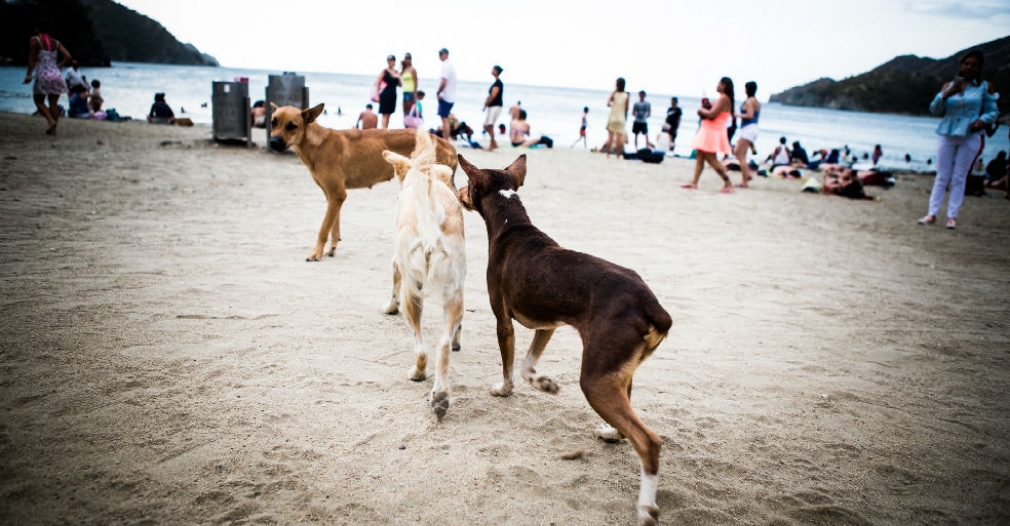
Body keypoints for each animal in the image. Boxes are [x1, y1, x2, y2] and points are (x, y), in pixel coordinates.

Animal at [268, 102, 458, 260]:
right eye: (273, 122)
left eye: (292, 126)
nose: (273, 142)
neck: (317, 144)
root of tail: (444, 142)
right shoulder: (333, 196)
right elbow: (333, 227)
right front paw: (331, 249)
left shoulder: (337, 195)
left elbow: (323, 229)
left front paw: (316, 253)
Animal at [381, 128, 464, 417]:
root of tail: (432, 222)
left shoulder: (397, 262)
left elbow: (393, 280)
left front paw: (389, 307)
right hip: (454, 292)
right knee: (442, 345)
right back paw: (441, 395)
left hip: (413, 293)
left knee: (421, 346)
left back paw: (418, 373)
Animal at [458, 153, 670, 520]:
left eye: (466, 182)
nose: (455, 191)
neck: (511, 225)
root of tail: (651, 306)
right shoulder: (548, 324)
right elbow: (527, 366)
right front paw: (544, 383)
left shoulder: (503, 320)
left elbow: (509, 366)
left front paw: (503, 389)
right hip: (617, 373)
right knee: (627, 423)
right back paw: (611, 433)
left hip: (595, 379)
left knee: (648, 442)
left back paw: (645, 507)